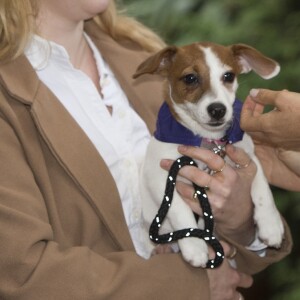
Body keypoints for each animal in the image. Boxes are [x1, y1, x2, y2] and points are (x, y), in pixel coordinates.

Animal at [134, 42, 284, 268]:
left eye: (228, 76)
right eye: (190, 78)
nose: (218, 109)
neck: (208, 142)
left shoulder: (249, 157)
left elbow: (262, 189)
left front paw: (271, 224)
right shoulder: (160, 177)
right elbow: (178, 209)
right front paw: (195, 246)